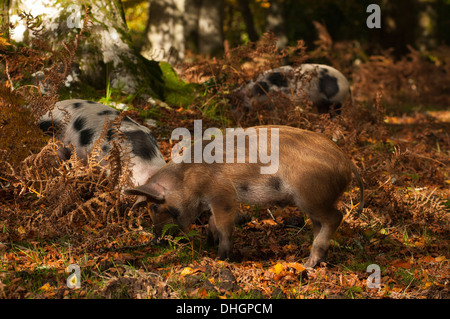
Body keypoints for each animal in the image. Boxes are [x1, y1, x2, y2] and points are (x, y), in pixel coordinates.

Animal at [124, 125, 362, 268]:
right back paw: (315, 262)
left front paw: (220, 257)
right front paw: (209, 244)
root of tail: (346, 161)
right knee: (319, 224)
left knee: (335, 217)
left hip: (310, 195)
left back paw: (307, 264)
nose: (157, 239)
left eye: (155, 207)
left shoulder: (223, 194)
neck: (187, 178)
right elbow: (212, 222)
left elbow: (223, 225)